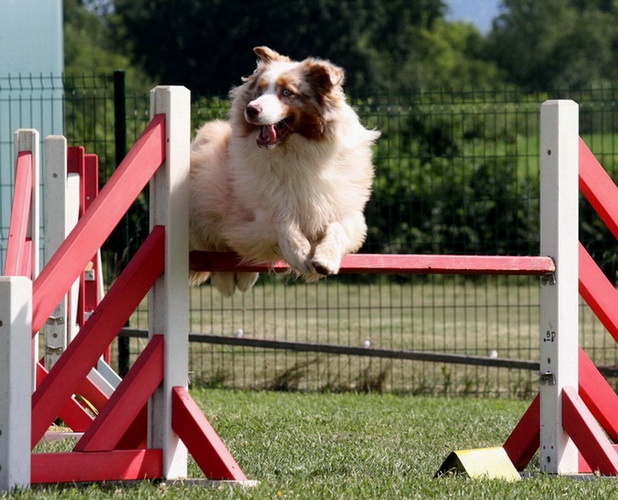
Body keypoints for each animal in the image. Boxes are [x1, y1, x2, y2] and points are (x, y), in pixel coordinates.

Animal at [190, 46, 378, 296]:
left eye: (287, 93)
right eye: (259, 90)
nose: (251, 109)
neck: (295, 151)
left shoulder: (345, 209)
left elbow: (338, 227)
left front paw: (325, 260)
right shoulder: (253, 217)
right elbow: (283, 224)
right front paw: (302, 256)